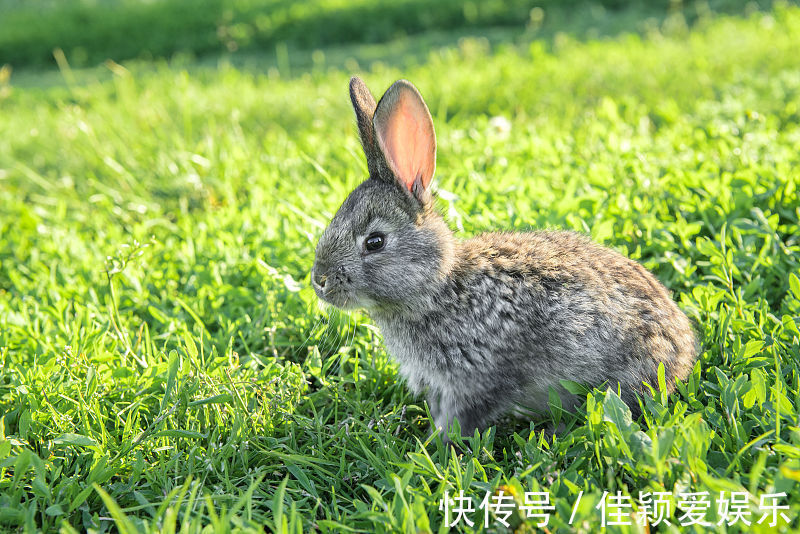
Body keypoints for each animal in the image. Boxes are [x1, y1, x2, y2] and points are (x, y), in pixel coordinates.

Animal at [310, 76, 696, 444]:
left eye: (375, 242)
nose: (319, 280)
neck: (439, 287)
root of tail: (683, 352)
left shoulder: (477, 379)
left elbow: (461, 418)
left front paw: (434, 445)